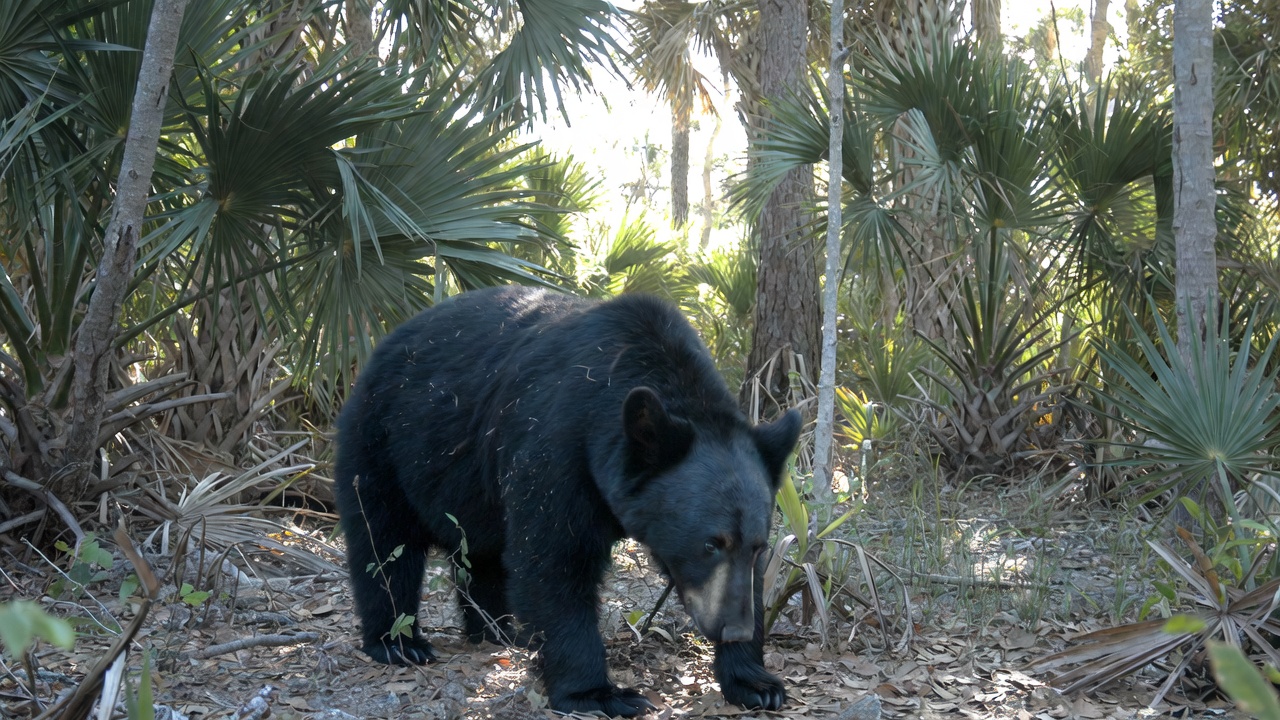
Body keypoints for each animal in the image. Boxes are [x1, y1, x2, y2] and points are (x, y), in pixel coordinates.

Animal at [334, 285, 801, 717]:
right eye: (709, 544)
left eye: (757, 544)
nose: (735, 630)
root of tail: (381, 346)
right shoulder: (558, 446)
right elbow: (554, 561)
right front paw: (600, 693)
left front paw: (754, 682)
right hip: (382, 442)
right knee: (385, 544)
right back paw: (398, 643)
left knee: (482, 554)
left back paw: (500, 631)